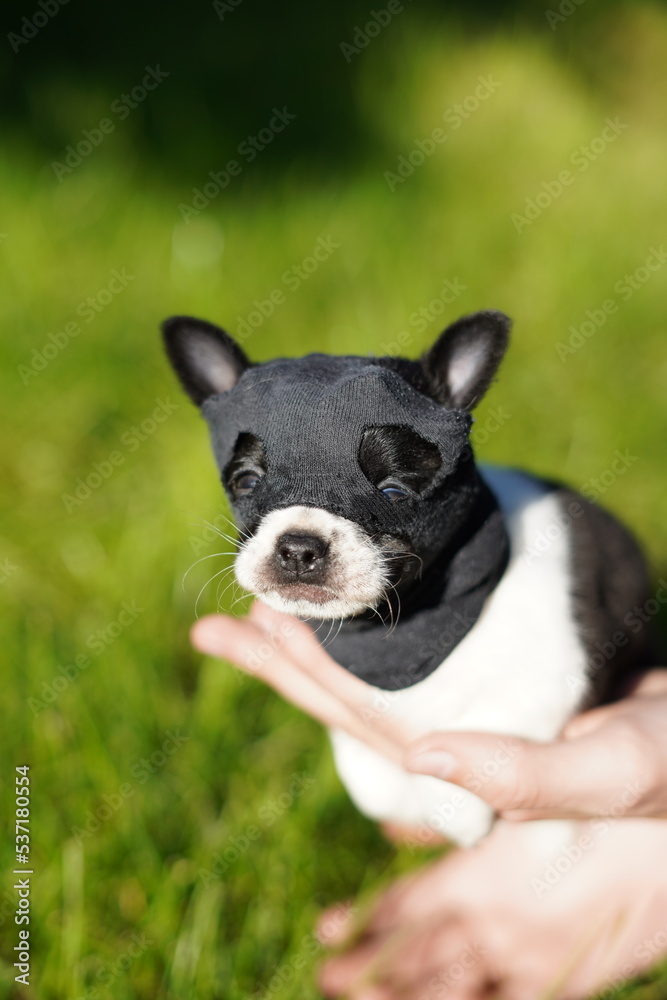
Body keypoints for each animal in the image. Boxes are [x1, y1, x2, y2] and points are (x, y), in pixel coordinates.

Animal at [163, 310, 656, 844]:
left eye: (394, 493)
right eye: (247, 484)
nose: (298, 547)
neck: (404, 632)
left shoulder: (551, 676)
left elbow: (484, 732)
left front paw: (453, 800)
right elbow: (365, 774)